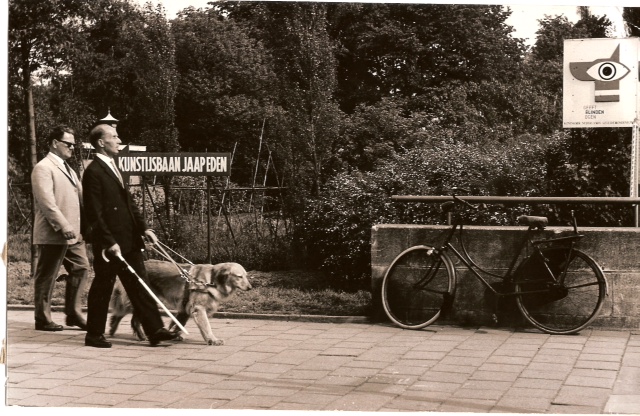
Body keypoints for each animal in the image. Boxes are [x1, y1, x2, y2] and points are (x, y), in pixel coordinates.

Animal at [109, 260, 251, 344]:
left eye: (246, 276)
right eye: (239, 277)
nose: (250, 288)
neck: (212, 280)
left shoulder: (185, 308)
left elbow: (179, 323)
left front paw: (175, 335)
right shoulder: (198, 309)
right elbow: (206, 326)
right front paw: (212, 339)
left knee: (129, 317)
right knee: (127, 316)